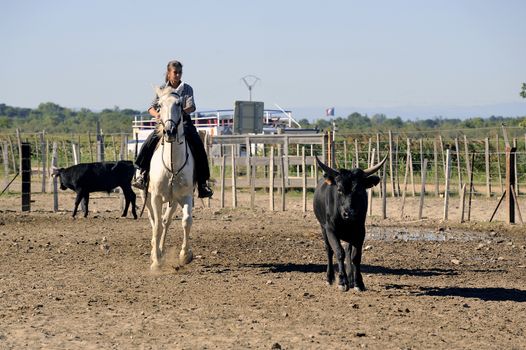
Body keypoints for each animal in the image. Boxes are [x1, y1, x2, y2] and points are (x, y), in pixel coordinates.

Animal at [146, 85, 196, 270]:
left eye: (179, 104)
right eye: (159, 105)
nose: (170, 131)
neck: (172, 164)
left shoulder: (185, 196)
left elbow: (186, 221)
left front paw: (185, 255)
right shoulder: (155, 197)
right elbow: (157, 227)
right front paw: (156, 261)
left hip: (173, 201)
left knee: (165, 221)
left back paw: (160, 251)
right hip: (147, 197)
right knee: (155, 221)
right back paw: (155, 252)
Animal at [314, 154, 388, 292]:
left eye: (359, 190)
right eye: (339, 189)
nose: (349, 213)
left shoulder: (360, 230)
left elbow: (355, 256)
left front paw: (358, 282)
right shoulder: (330, 229)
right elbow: (339, 252)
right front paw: (342, 281)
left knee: (349, 251)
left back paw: (351, 279)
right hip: (323, 228)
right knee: (329, 250)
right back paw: (330, 278)